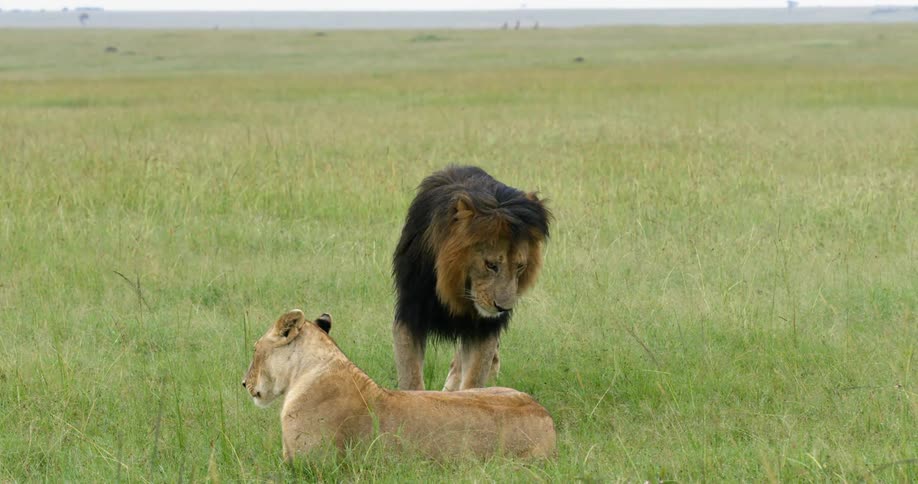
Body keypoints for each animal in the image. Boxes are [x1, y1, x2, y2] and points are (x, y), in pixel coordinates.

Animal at [392, 166, 551, 391]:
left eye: (520, 266)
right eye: (491, 265)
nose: (503, 308)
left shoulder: (484, 329)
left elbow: (475, 378)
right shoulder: (411, 312)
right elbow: (410, 377)